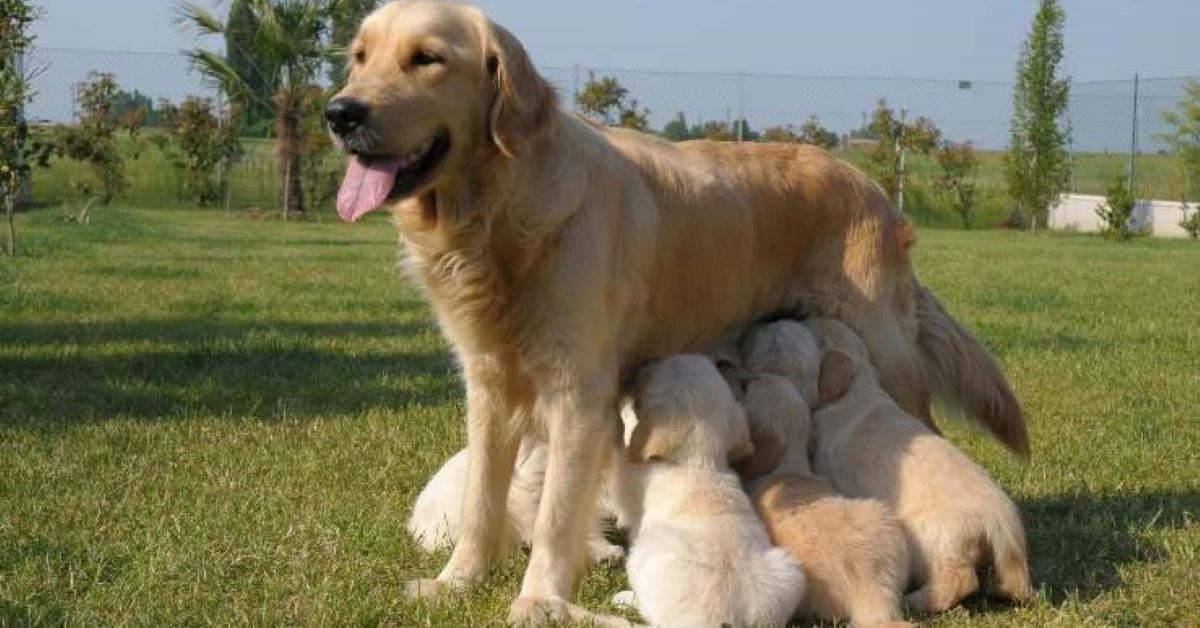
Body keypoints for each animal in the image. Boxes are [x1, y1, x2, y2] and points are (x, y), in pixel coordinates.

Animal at [609, 355, 806, 624]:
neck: (702, 462)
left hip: (644, 555)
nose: (647, 361)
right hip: (786, 571)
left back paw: (623, 599)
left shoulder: (629, 472)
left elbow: (629, 434)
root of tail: (724, 616)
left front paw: (624, 408)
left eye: (658, 367)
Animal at [811, 317, 1036, 612]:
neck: (857, 389)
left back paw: (915, 599)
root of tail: (1002, 524)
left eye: (816, 334)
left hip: (934, 543)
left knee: (961, 580)